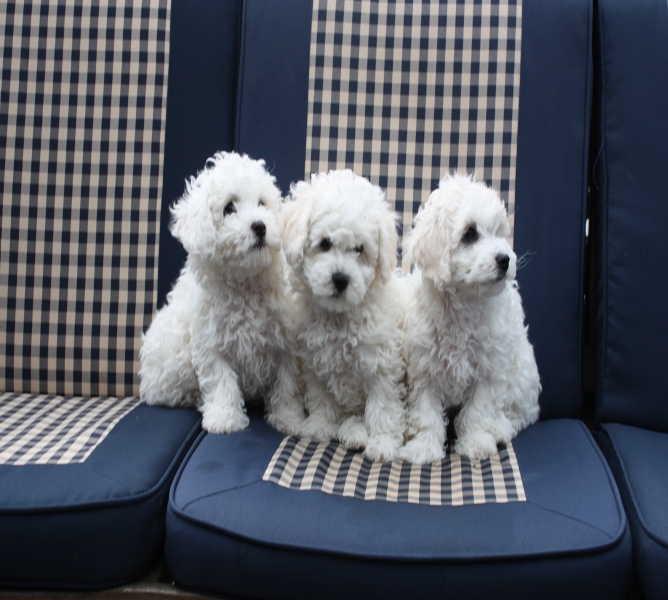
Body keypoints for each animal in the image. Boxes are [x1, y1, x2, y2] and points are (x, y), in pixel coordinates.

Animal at [141, 152, 302, 434]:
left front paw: (288, 418)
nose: (260, 226)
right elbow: (220, 380)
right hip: (173, 357)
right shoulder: (211, 341)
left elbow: (286, 383)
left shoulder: (286, 339)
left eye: (262, 203)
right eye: (228, 208)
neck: (245, 282)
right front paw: (225, 418)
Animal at [280, 171, 404, 462]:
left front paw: (382, 444)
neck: (340, 318)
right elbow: (321, 398)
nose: (340, 279)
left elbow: (382, 406)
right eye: (324, 243)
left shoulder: (382, 364)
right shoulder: (314, 361)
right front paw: (318, 426)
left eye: (359, 249)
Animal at [400, 173, 540, 464]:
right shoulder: (423, 368)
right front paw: (424, 448)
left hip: (523, 374)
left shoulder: (490, 369)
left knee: (522, 413)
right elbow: (427, 412)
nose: (505, 259)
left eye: (498, 233)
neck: (463, 306)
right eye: (470, 234)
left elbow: (479, 410)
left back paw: (500, 427)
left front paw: (476, 443)